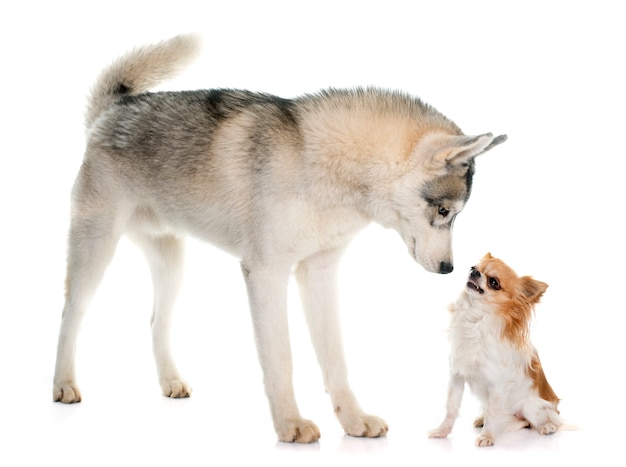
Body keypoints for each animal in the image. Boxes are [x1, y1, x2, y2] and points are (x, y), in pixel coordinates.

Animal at [53, 34, 508, 444]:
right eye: (445, 212)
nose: (450, 268)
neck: (321, 163)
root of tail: (114, 111)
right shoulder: (266, 274)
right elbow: (281, 359)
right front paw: (290, 424)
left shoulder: (319, 273)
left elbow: (335, 359)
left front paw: (353, 421)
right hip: (96, 251)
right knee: (71, 316)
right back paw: (63, 385)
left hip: (172, 265)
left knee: (154, 321)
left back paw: (170, 381)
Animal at [428, 254, 560, 448]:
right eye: (473, 267)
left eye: (494, 282)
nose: (474, 272)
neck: (475, 320)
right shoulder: (457, 377)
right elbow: (451, 408)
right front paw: (442, 431)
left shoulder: (497, 386)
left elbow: (492, 412)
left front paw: (487, 436)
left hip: (530, 406)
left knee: (539, 421)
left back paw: (547, 427)